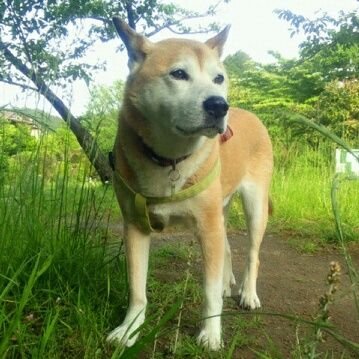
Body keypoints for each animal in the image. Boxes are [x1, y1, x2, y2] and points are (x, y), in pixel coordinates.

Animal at [108, 17, 274, 352]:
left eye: (218, 77)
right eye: (179, 74)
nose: (219, 106)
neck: (170, 160)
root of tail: (252, 115)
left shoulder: (207, 227)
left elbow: (208, 292)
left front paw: (210, 334)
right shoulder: (135, 226)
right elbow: (137, 288)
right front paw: (129, 328)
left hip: (255, 207)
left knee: (252, 254)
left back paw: (248, 294)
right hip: (220, 211)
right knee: (227, 248)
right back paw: (227, 283)